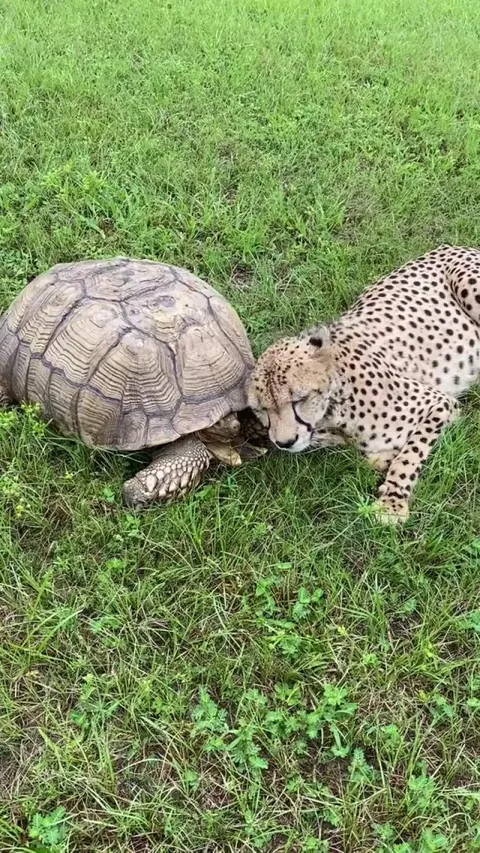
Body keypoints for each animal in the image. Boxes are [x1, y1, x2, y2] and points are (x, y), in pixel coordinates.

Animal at [248, 245, 480, 524]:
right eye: (263, 410)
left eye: (300, 399)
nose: (285, 442)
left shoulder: (439, 403)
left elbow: (409, 455)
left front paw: (392, 502)